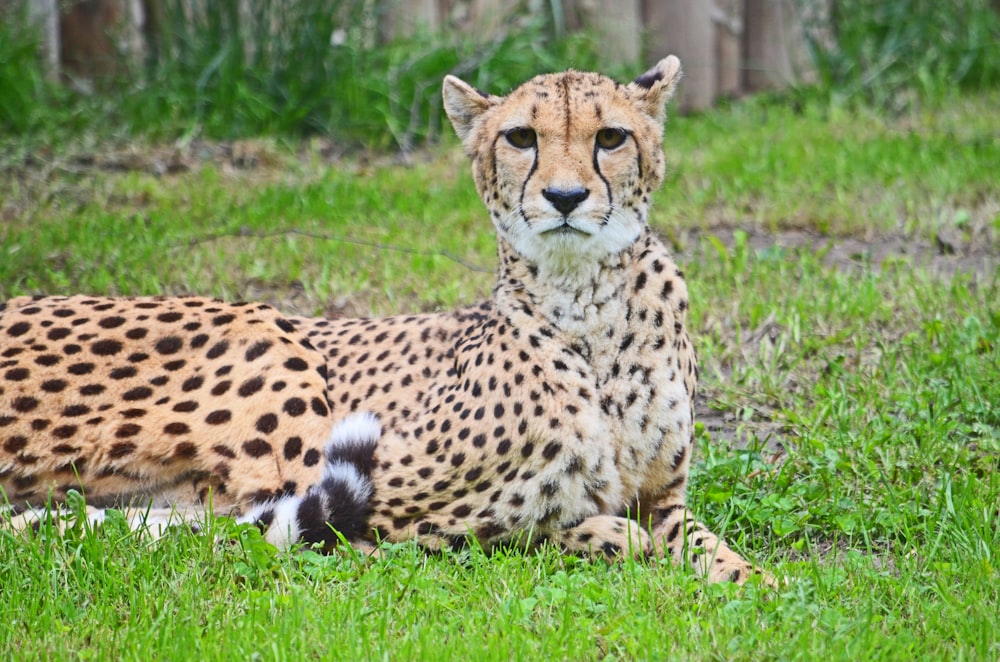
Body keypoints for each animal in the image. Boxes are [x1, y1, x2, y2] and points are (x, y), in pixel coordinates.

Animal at [0, 58, 768, 588]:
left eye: (611, 136)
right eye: (521, 136)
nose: (565, 196)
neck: (587, 306)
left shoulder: (665, 497)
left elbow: (714, 548)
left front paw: (757, 584)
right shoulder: (391, 505)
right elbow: (529, 528)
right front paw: (608, 535)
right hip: (274, 343)